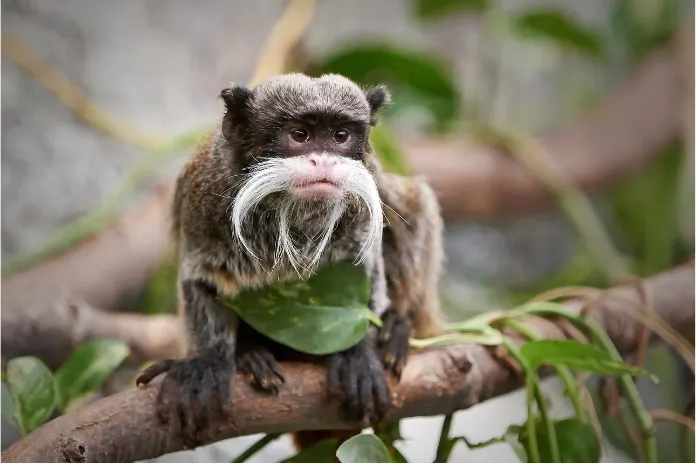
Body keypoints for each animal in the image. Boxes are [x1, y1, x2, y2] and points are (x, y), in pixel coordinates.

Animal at [135, 73, 444, 449]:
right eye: (300, 135)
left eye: (340, 136)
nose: (324, 161)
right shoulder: (203, 202)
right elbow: (201, 279)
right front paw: (208, 360)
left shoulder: (362, 206)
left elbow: (367, 272)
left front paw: (358, 353)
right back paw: (251, 353)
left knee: (412, 206)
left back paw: (396, 328)